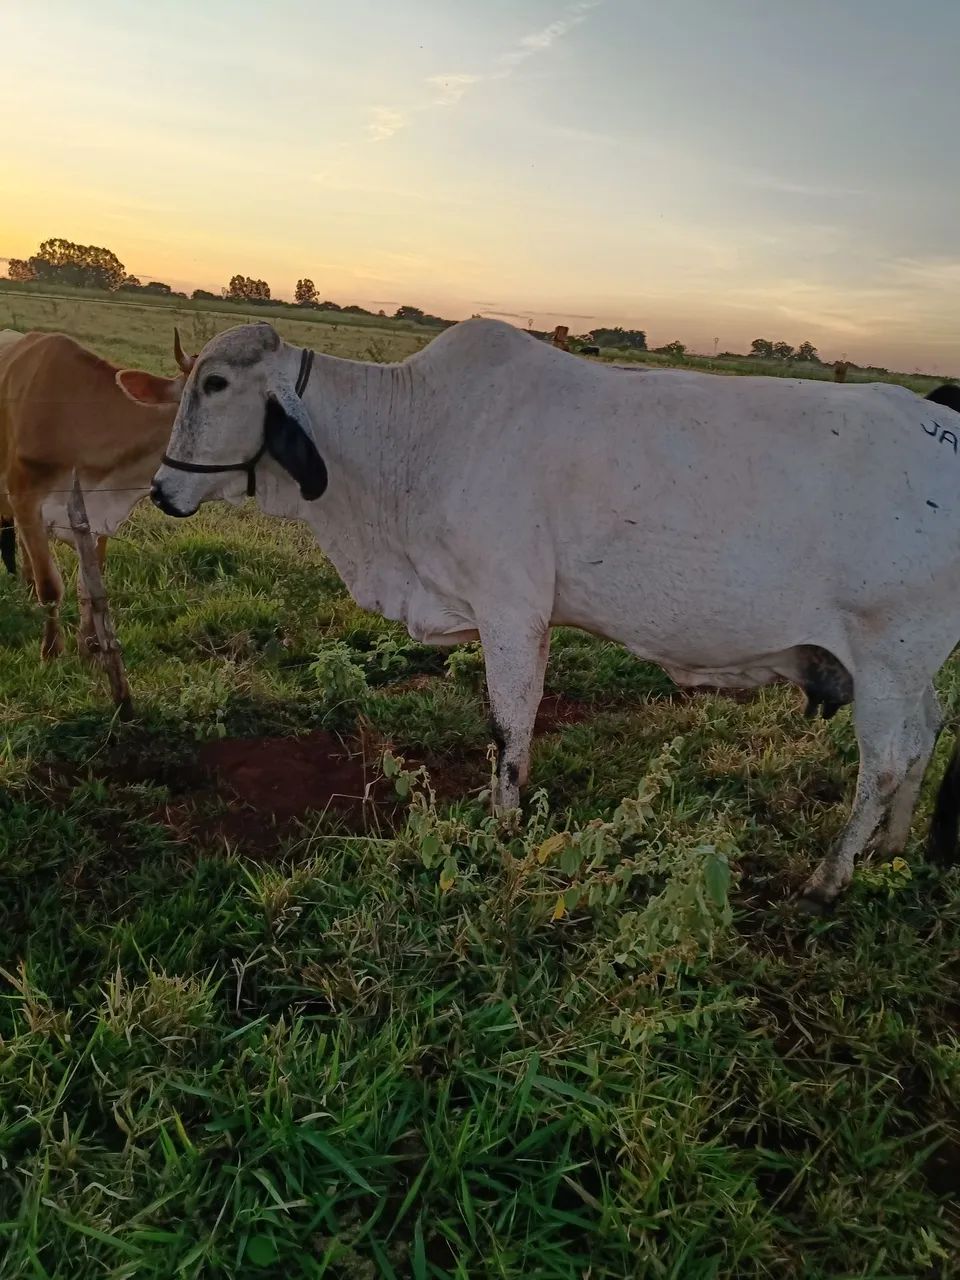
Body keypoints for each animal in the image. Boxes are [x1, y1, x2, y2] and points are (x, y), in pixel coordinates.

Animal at [0, 330, 194, 658]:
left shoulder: (100, 515)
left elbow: (90, 586)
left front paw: (90, 644)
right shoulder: (25, 498)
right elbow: (50, 586)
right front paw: (51, 651)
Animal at [149, 318, 960, 910]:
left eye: (215, 383)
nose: (160, 491)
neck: (413, 437)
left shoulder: (511, 610)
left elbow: (509, 727)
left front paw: (502, 821)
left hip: (888, 655)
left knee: (886, 761)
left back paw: (829, 877)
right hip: (907, 667)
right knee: (925, 734)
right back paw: (888, 846)